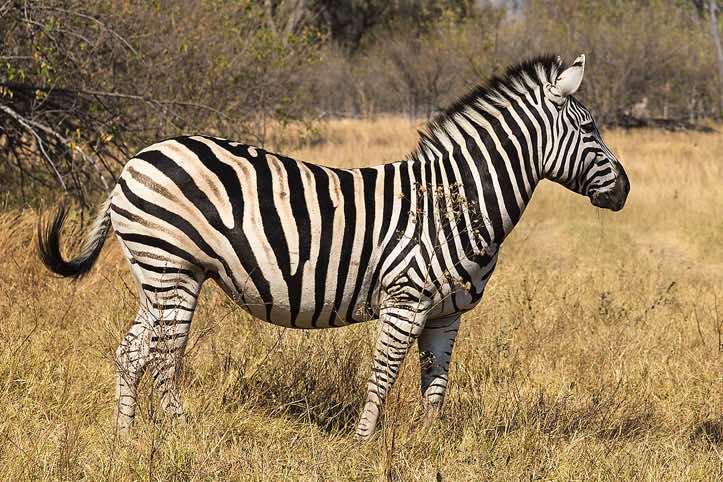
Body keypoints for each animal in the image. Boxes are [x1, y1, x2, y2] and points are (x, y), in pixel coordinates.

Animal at [38, 54, 629, 439]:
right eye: (590, 130)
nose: (624, 191)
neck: (455, 201)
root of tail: (133, 162)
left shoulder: (446, 313)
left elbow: (435, 383)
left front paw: (430, 444)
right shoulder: (406, 298)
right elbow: (384, 374)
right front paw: (365, 443)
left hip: (157, 274)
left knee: (132, 351)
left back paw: (128, 438)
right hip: (172, 269)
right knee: (163, 355)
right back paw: (180, 432)